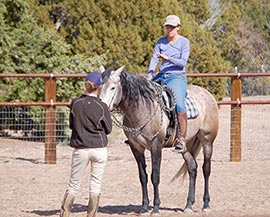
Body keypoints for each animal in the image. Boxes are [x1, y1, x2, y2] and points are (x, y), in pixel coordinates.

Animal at [99, 66, 219, 215]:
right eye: (100, 86)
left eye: (113, 87)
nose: (102, 106)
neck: (143, 109)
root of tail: (208, 95)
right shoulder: (136, 147)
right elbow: (143, 177)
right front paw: (144, 207)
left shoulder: (155, 146)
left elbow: (155, 177)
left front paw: (155, 208)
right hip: (186, 145)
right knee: (192, 167)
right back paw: (188, 205)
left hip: (207, 141)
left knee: (206, 169)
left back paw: (206, 205)